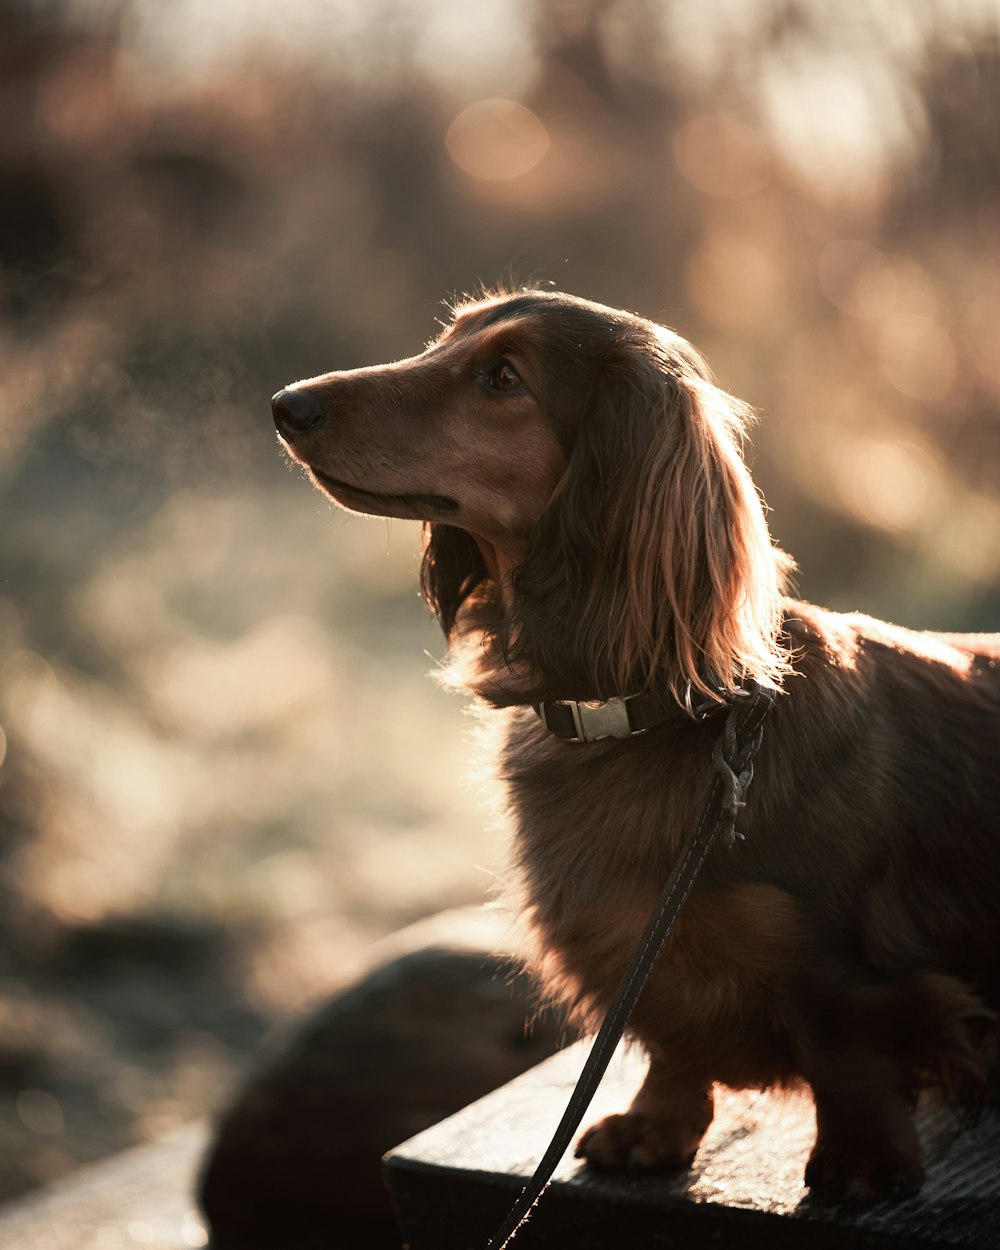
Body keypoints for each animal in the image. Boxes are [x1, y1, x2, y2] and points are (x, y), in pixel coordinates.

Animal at [271, 286, 1000, 1200]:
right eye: (446, 341)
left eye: (503, 377)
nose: (285, 405)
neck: (633, 712)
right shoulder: (632, 945)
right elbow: (670, 1042)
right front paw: (655, 1126)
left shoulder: (844, 966)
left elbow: (849, 1053)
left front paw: (862, 1158)